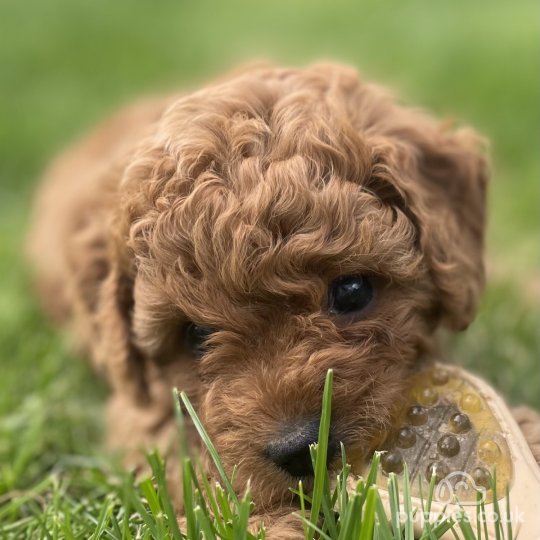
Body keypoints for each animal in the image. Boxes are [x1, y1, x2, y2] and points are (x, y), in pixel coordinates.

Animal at [29, 64, 540, 536]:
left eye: (352, 291)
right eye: (196, 335)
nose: (300, 449)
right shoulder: (140, 410)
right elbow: (186, 455)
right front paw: (266, 522)